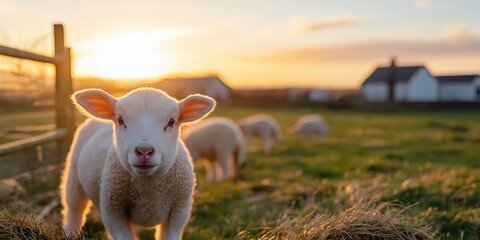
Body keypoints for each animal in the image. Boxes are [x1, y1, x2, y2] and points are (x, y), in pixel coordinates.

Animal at [60, 88, 216, 240]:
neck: (149, 190)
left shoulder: (180, 211)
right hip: (73, 179)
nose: (144, 151)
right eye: (120, 120)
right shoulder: (113, 211)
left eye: (171, 122)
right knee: (74, 210)